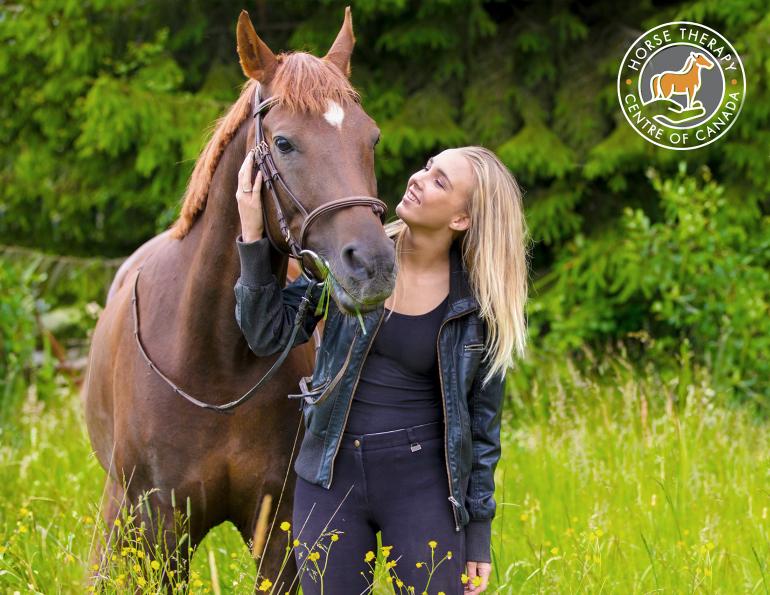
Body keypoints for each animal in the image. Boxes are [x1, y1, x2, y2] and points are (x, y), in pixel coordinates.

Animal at [81, 7, 396, 589]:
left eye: (372, 139)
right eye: (284, 143)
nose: (373, 266)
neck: (216, 357)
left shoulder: (280, 530)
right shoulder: (161, 531)